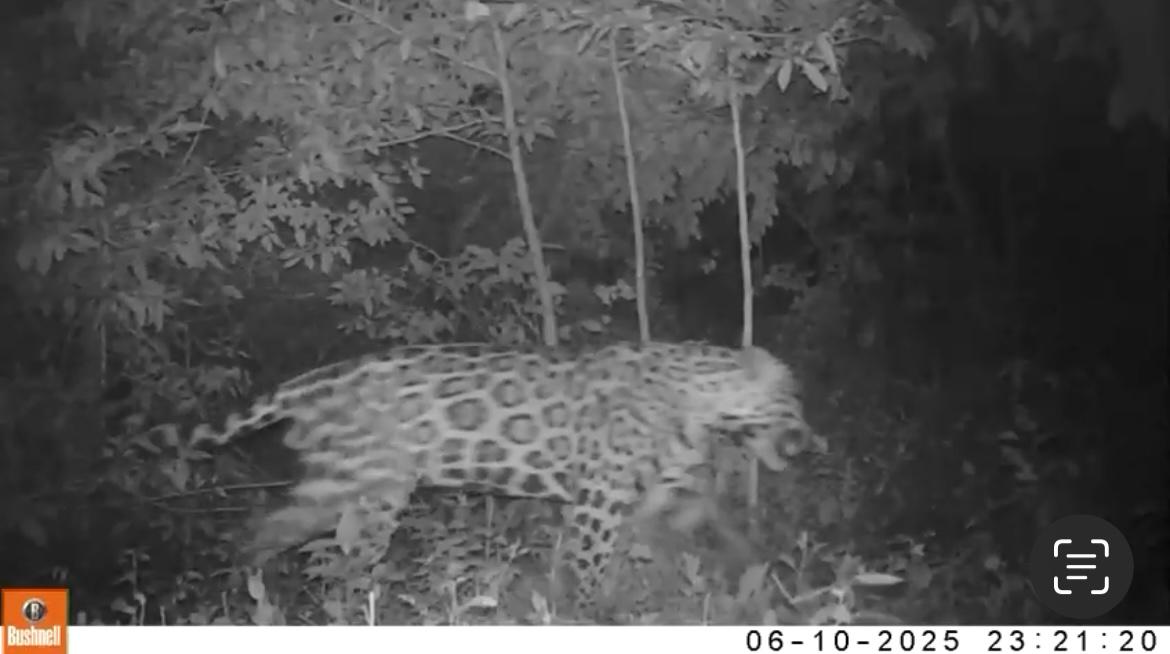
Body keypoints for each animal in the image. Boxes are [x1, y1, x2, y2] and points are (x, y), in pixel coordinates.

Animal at [188, 340, 819, 614]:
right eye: (792, 397)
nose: (811, 439)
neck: (700, 401)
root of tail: (314, 380)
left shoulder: (665, 492)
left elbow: (711, 530)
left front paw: (756, 571)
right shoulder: (599, 502)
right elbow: (590, 567)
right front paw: (589, 613)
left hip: (343, 487)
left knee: (273, 529)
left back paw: (250, 590)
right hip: (365, 486)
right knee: (329, 554)